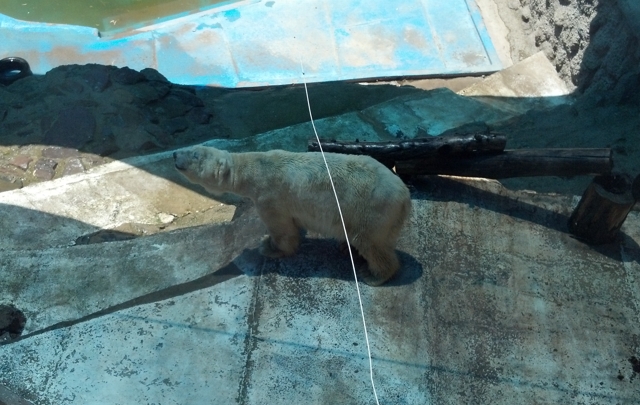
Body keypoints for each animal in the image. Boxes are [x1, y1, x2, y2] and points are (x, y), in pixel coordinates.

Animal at [173, 145, 411, 286]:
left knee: (371, 243)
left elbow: (282, 228)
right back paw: (346, 247)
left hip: (370, 208)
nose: (174, 153)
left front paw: (269, 246)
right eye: (192, 147)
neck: (252, 168)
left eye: (194, 154)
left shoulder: (270, 195)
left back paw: (372, 274)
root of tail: (405, 196)